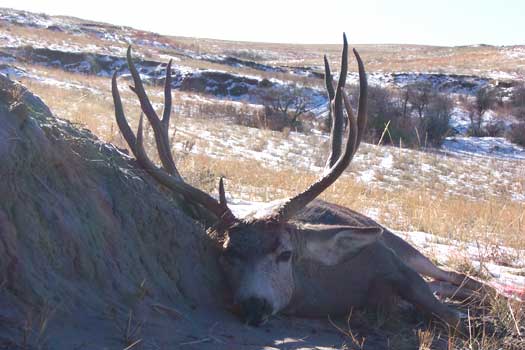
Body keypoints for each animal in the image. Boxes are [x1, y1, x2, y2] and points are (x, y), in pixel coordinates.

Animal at [112, 34, 486, 326]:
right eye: (228, 255)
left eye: (285, 254)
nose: (254, 306)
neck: (328, 287)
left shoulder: (390, 260)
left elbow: (448, 315)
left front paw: (462, 315)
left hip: (401, 243)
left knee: (460, 277)